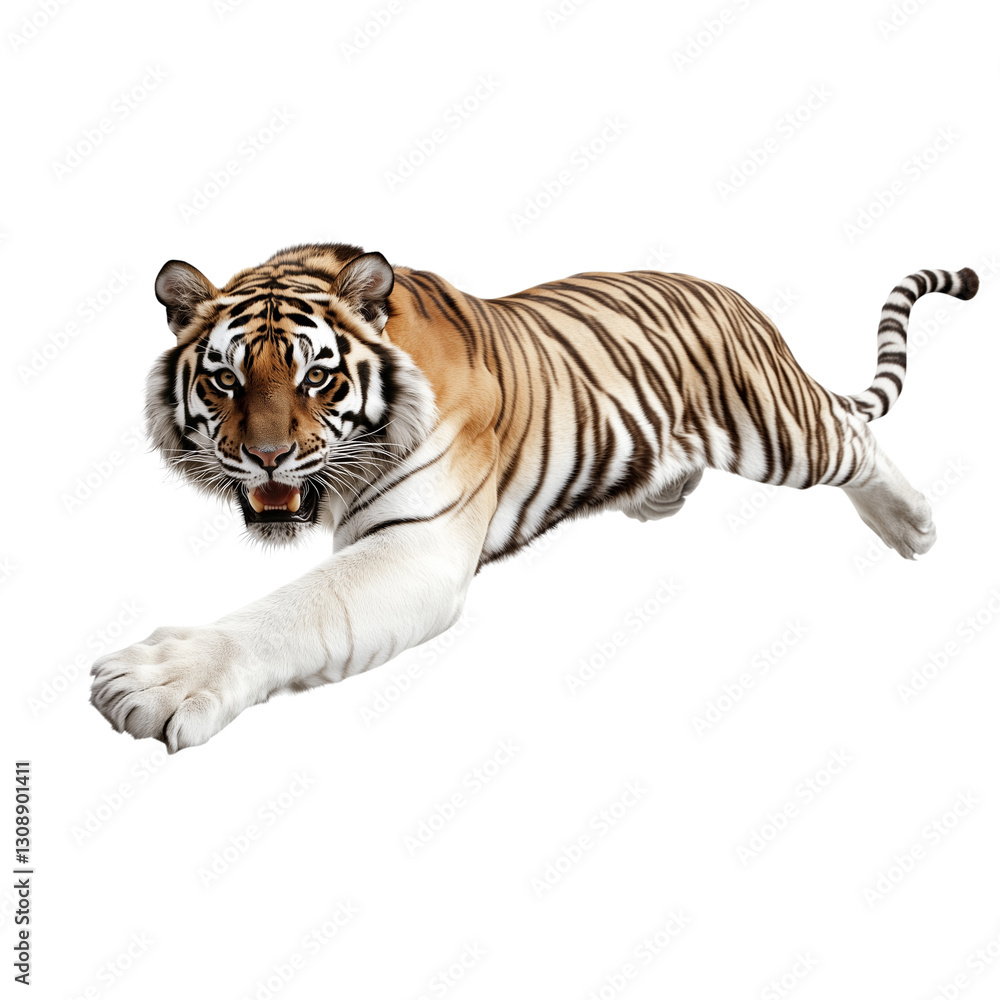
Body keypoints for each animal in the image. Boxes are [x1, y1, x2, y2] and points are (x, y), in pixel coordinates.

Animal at [89, 243, 979, 752]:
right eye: (225, 380)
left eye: (317, 377)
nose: (267, 457)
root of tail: (735, 297)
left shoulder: (416, 541)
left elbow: (297, 609)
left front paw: (157, 681)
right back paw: (659, 494)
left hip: (777, 428)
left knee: (851, 435)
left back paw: (913, 524)